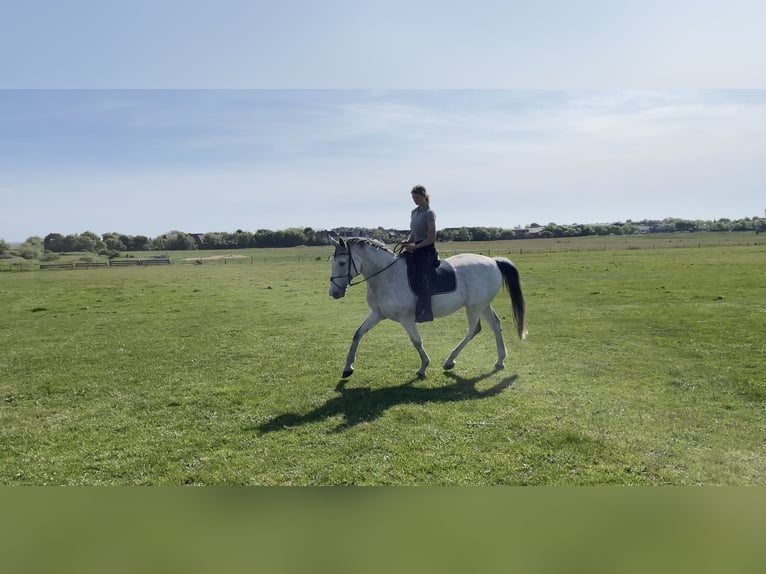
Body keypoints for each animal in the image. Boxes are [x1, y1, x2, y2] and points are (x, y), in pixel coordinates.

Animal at [328, 235, 527, 379]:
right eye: (332, 261)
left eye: (342, 263)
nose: (334, 293)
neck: (386, 276)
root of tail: (493, 262)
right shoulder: (378, 314)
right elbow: (358, 334)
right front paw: (348, 367)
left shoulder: (406, 318)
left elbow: (417, 341)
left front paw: (423, 367)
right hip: (483, 305)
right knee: (495, 325)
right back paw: (499, 361)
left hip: (474, 307)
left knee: (473, 330)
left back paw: (450, 361)